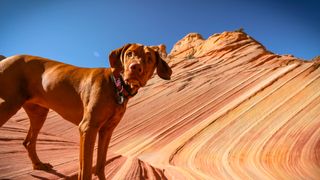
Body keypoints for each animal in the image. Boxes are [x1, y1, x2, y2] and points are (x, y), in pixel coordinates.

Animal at [0, 44, 172, 180]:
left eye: (149, 58)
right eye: (129, 53)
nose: (135, 68)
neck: (116, 85)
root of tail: (6, 59)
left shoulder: (106, 131)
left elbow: (101, 163)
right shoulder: (88, 128)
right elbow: (87, 169)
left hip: (39, 112)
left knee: (29, 141)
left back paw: (39, 165)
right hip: (8, 105)